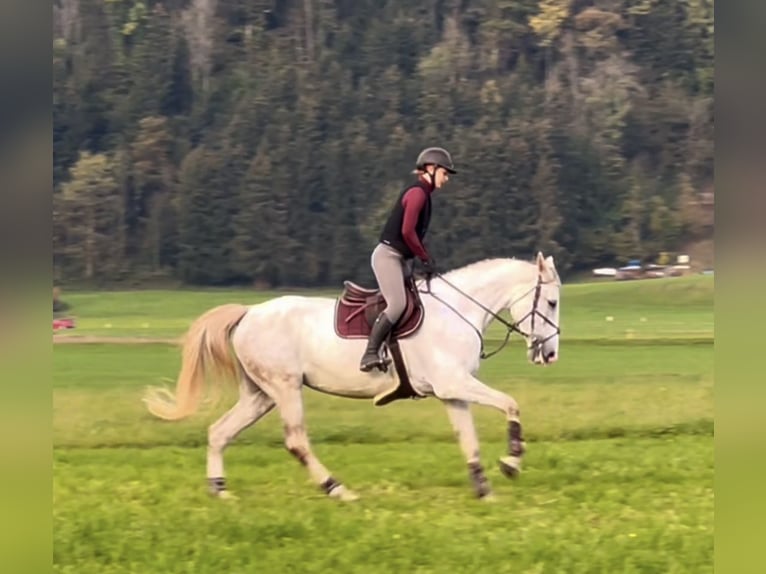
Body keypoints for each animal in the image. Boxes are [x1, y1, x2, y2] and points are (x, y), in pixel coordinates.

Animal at [146, 254, 564, 502]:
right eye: (552, 302)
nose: (550, 354)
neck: (457, 309)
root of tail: (248, 313)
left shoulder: (452, 392)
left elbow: (469, 441)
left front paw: (484, 490)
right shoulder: (454, 384)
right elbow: (511, 404)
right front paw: (512, 462)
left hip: (260, 395)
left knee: (219, 432)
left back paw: (220, 491)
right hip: (285, 387)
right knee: (296, 440)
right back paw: (337, 489)